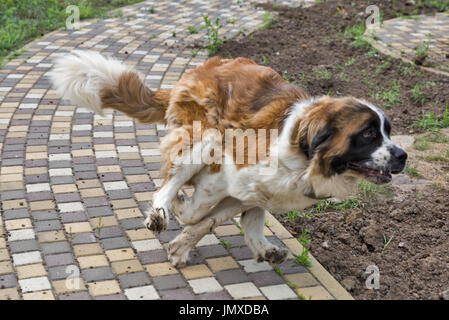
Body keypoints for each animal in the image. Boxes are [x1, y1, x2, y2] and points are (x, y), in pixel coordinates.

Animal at [49, 51, 406, 266]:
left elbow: (223, 220)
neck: (304, 157)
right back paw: (163, 209)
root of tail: (196, 71)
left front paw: (185, 247)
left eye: (387, 130)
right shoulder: (229, 174)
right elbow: (196, 214)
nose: (402, 156)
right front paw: (178, 210)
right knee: (169, 182)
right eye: (369, 134)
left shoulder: (252, 193)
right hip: (204, 137)